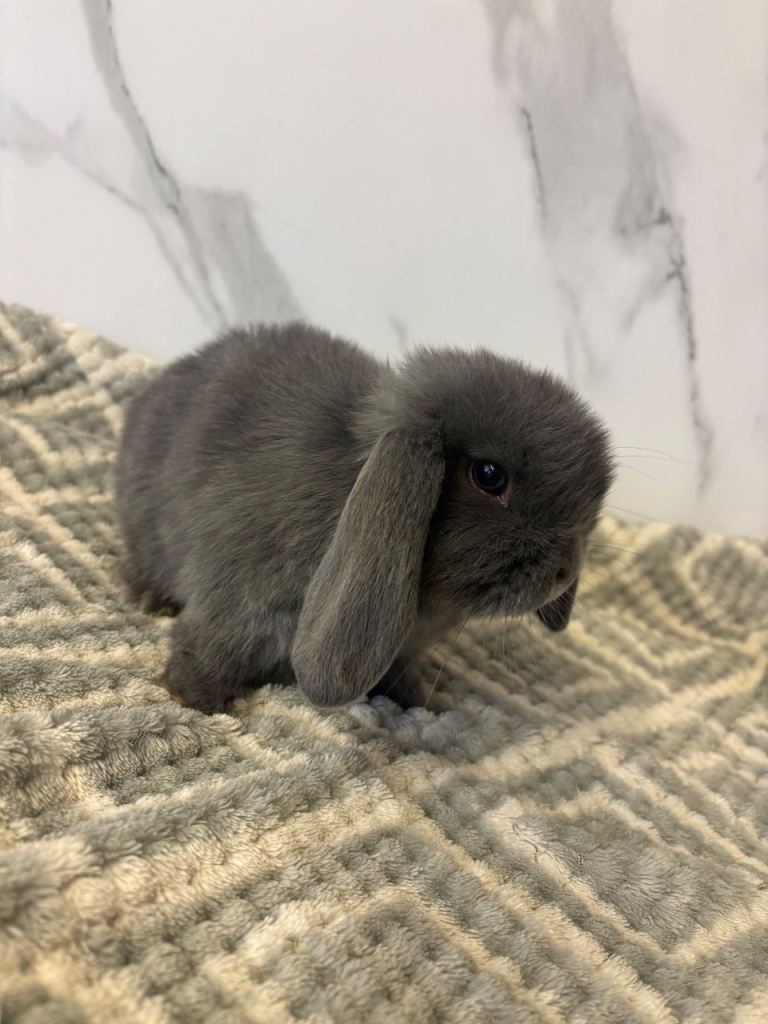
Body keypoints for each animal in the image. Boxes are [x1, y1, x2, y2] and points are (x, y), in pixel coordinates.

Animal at [115, 322, 614, 714]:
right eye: (489, 476)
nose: (564, 573)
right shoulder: (239, 600)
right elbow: (210, 648)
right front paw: (195, 700)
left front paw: (427, 706)